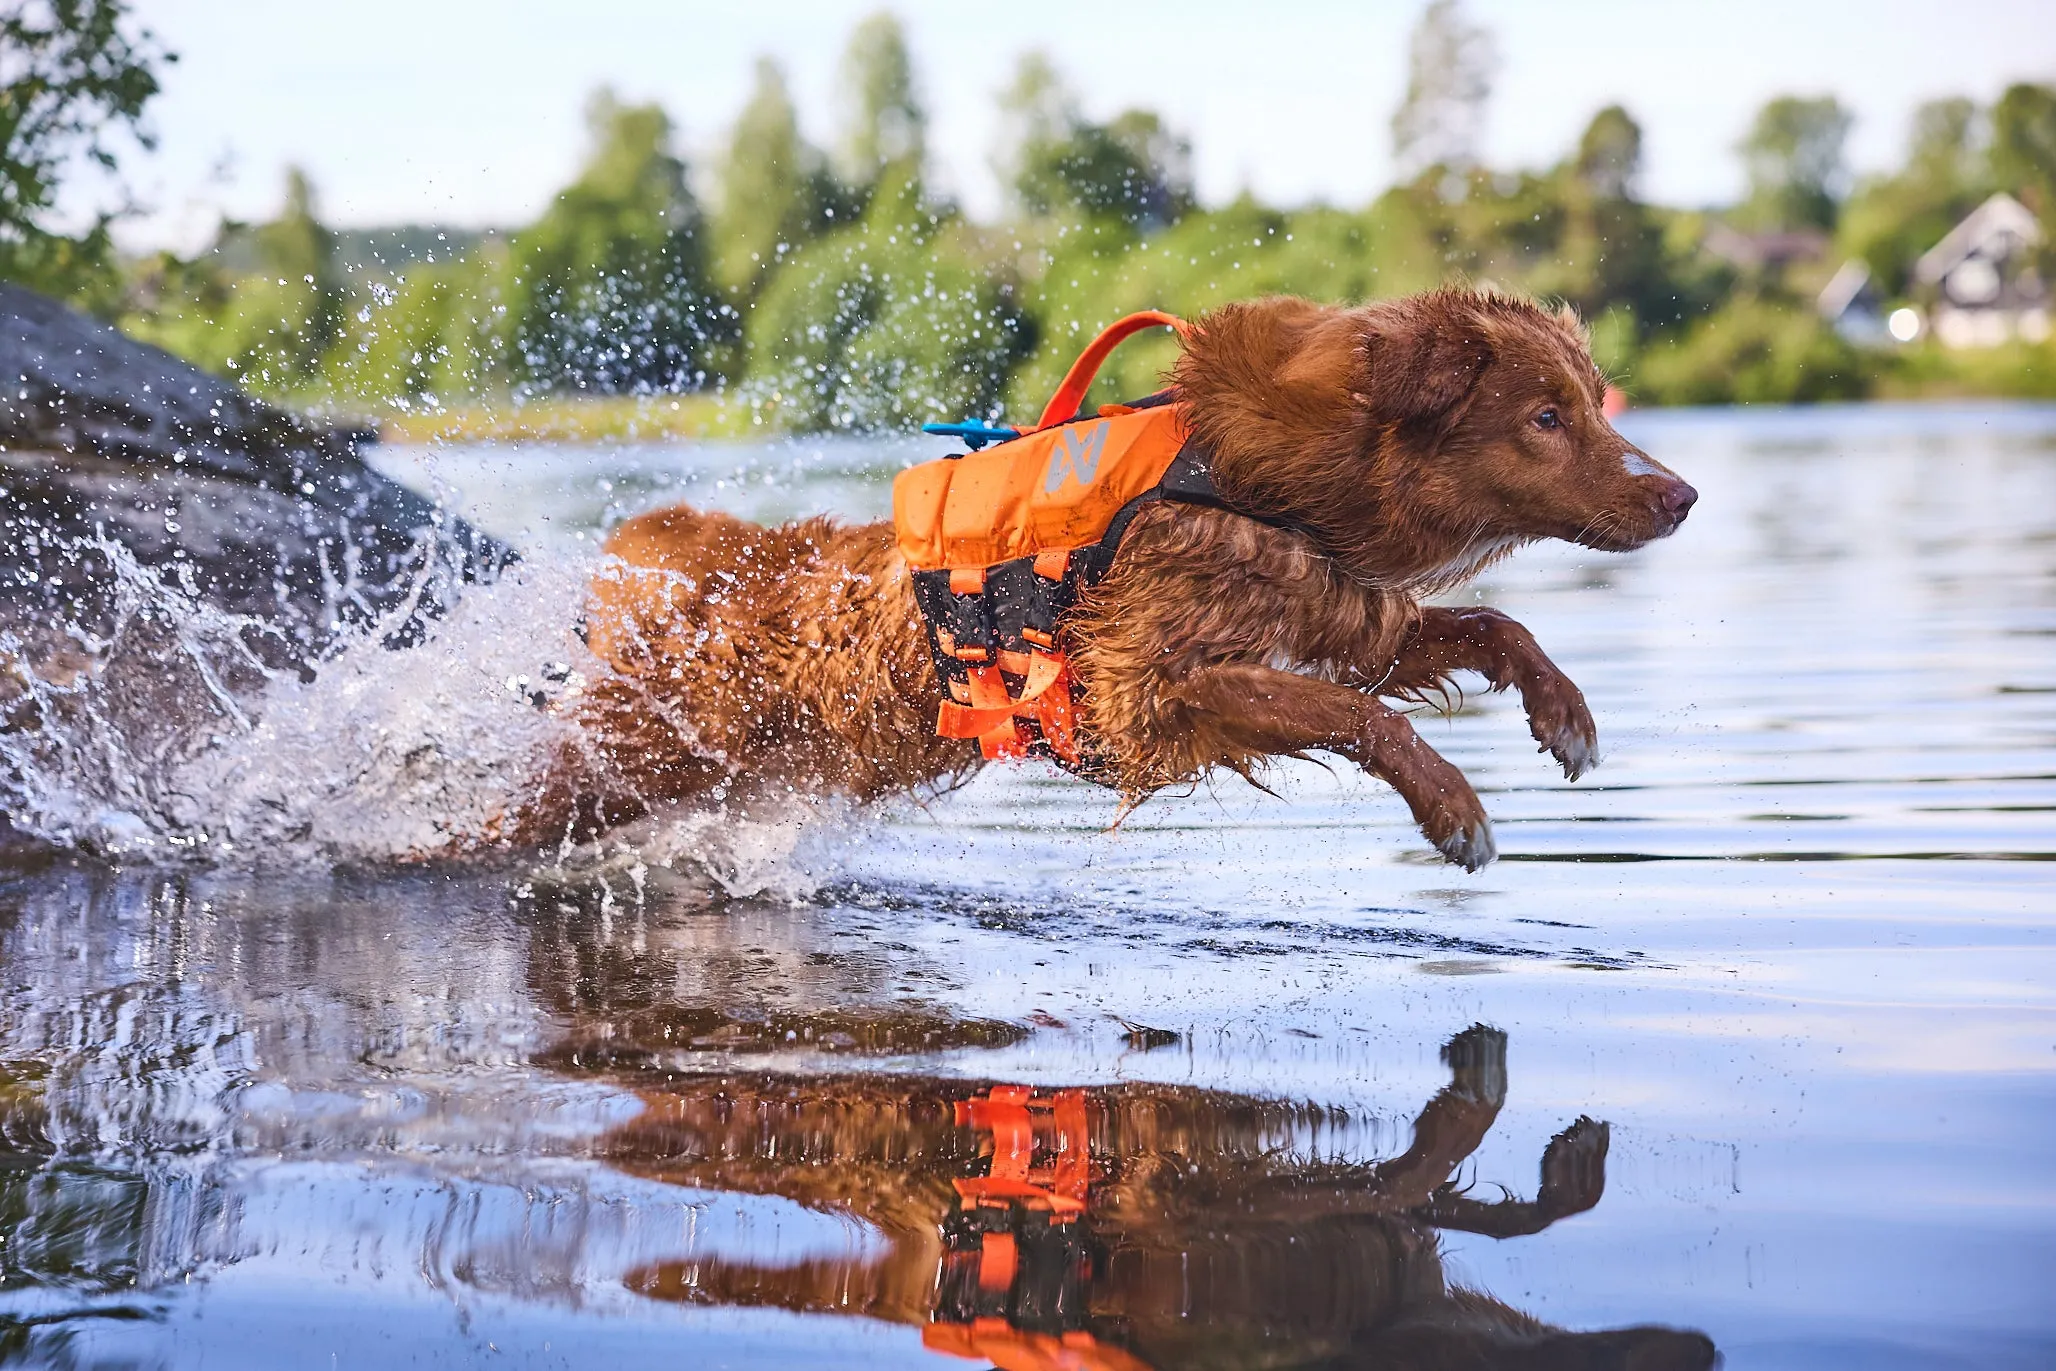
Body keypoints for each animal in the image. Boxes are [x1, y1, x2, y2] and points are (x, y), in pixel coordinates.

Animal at [538, 287, 1694, 867]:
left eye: (1593, 402)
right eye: (1544, 417)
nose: (1681, 496)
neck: (1257, 481)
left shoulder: (1332, 612)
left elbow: (1489, 625)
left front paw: (1564, 714)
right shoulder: (1145, 689)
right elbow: (1359, 715)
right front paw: (1454, 808)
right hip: (614, 765)